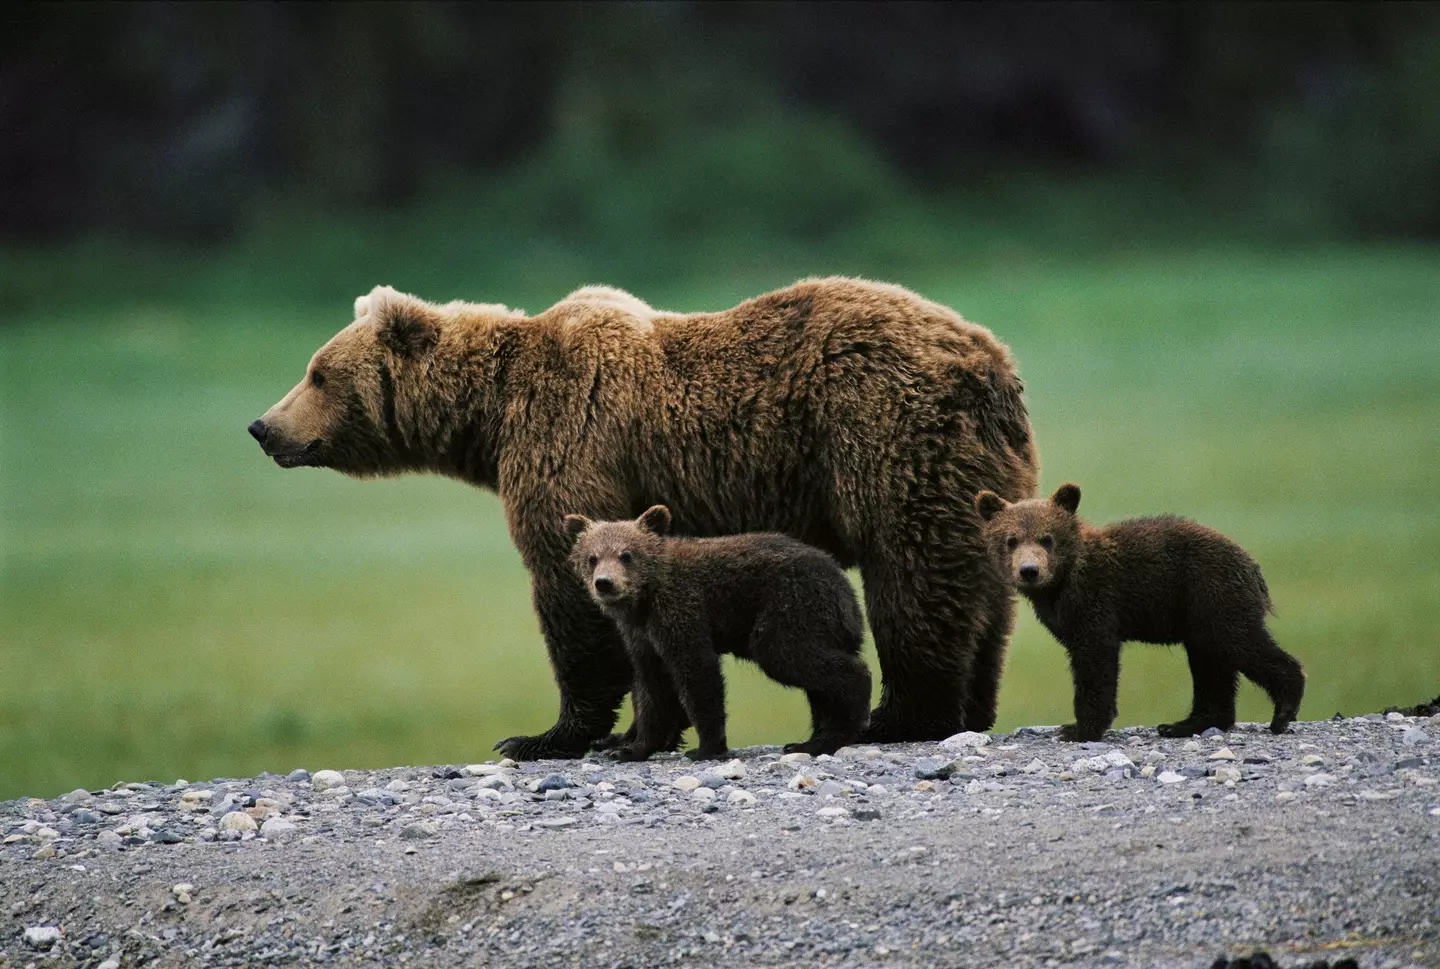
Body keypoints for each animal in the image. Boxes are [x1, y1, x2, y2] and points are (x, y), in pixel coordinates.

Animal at [563, 505, 872, 761]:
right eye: (592, 558)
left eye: (626, 555)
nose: (605, 583)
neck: (644, 602)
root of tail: (845, 588)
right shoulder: (641, 638)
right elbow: (651, 689)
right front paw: (630, 748)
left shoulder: (681, 612)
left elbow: (698, 674)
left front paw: (707, 747)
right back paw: (811, 740)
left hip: (791, 608)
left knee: (794, 656)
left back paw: (834, 733)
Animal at [975, 483, 1305, 742]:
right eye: (1011, 540)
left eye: (1047, 538)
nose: (1029, 570)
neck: (1060, 584)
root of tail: (1253, 566)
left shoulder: (1096, 602)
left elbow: (1095, 662)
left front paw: (1079, 729)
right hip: (1199, 614)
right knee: (1211, 663)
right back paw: (1185, 724)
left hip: (1212, 593)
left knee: (1239, 642)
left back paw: (1284, 710)